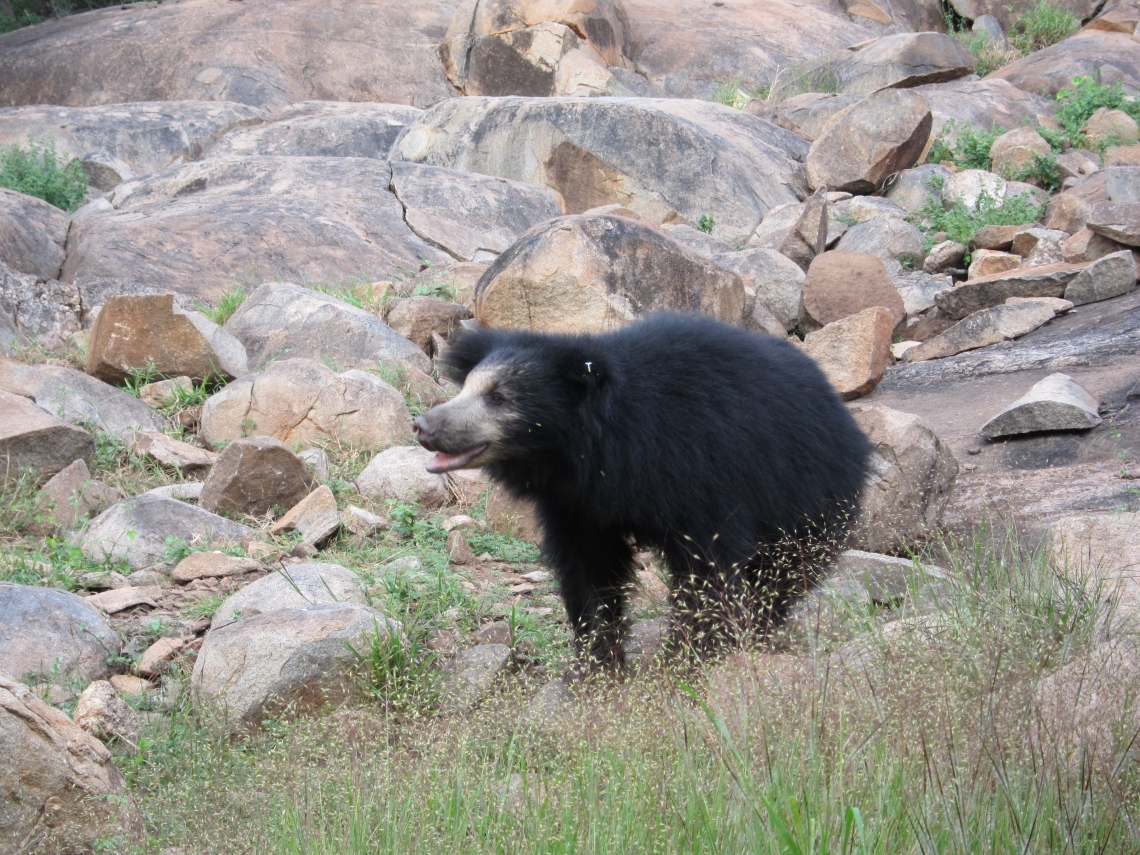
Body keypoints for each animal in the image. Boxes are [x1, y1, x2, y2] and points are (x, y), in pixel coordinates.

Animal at [414, 312, 866, 665]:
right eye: (466, 387)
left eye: (499, 397)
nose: (424, 425)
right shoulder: (578, 505)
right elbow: (589, 570)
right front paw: (598, 666)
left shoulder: (706, 473)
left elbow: (708, 569)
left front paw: (686, 661)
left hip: (807, 496)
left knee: (782, 575)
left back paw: (758, 632)